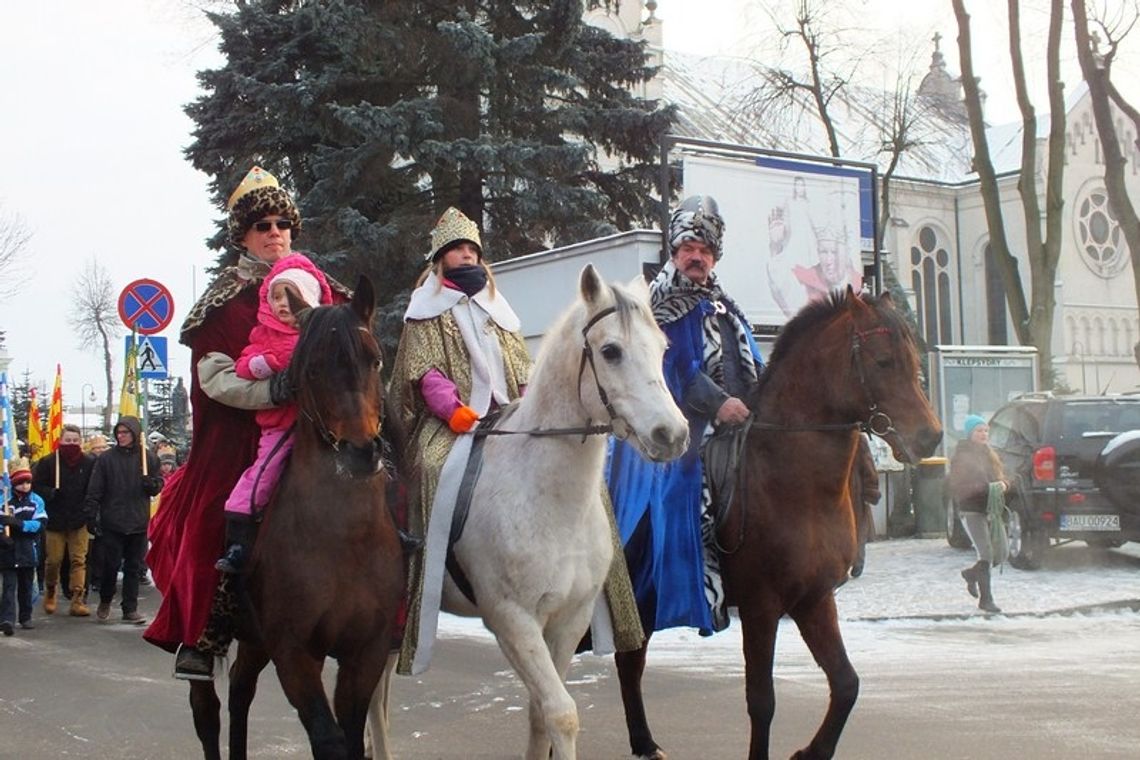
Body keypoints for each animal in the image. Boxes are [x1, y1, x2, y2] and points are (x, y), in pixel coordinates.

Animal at [184, 278, 403, 760]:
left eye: (375, 358)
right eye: (312, 369)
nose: (361, 452)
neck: (344, 538)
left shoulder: (366, 651)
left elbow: (351, 736)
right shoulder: (295, 652)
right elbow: (329, 739)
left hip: (253, 638)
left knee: (241, 691)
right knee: (206, 709)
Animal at [369, 264, 684, 756]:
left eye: (663, 347)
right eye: (610, 351)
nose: (672, 434)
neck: (548, 499)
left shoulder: (568, 620)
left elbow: (540, 715)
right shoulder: (512, 620)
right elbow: (562, 713)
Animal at [620, 288, 939, 756]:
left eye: (914, 359)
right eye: (883, 362)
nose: (930, 437)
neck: (792, 477)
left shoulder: (814, 599)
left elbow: (847, 683)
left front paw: (813, 751)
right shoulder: (761, 605)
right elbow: (762, 700)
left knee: (629, 661)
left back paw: (644, 742)